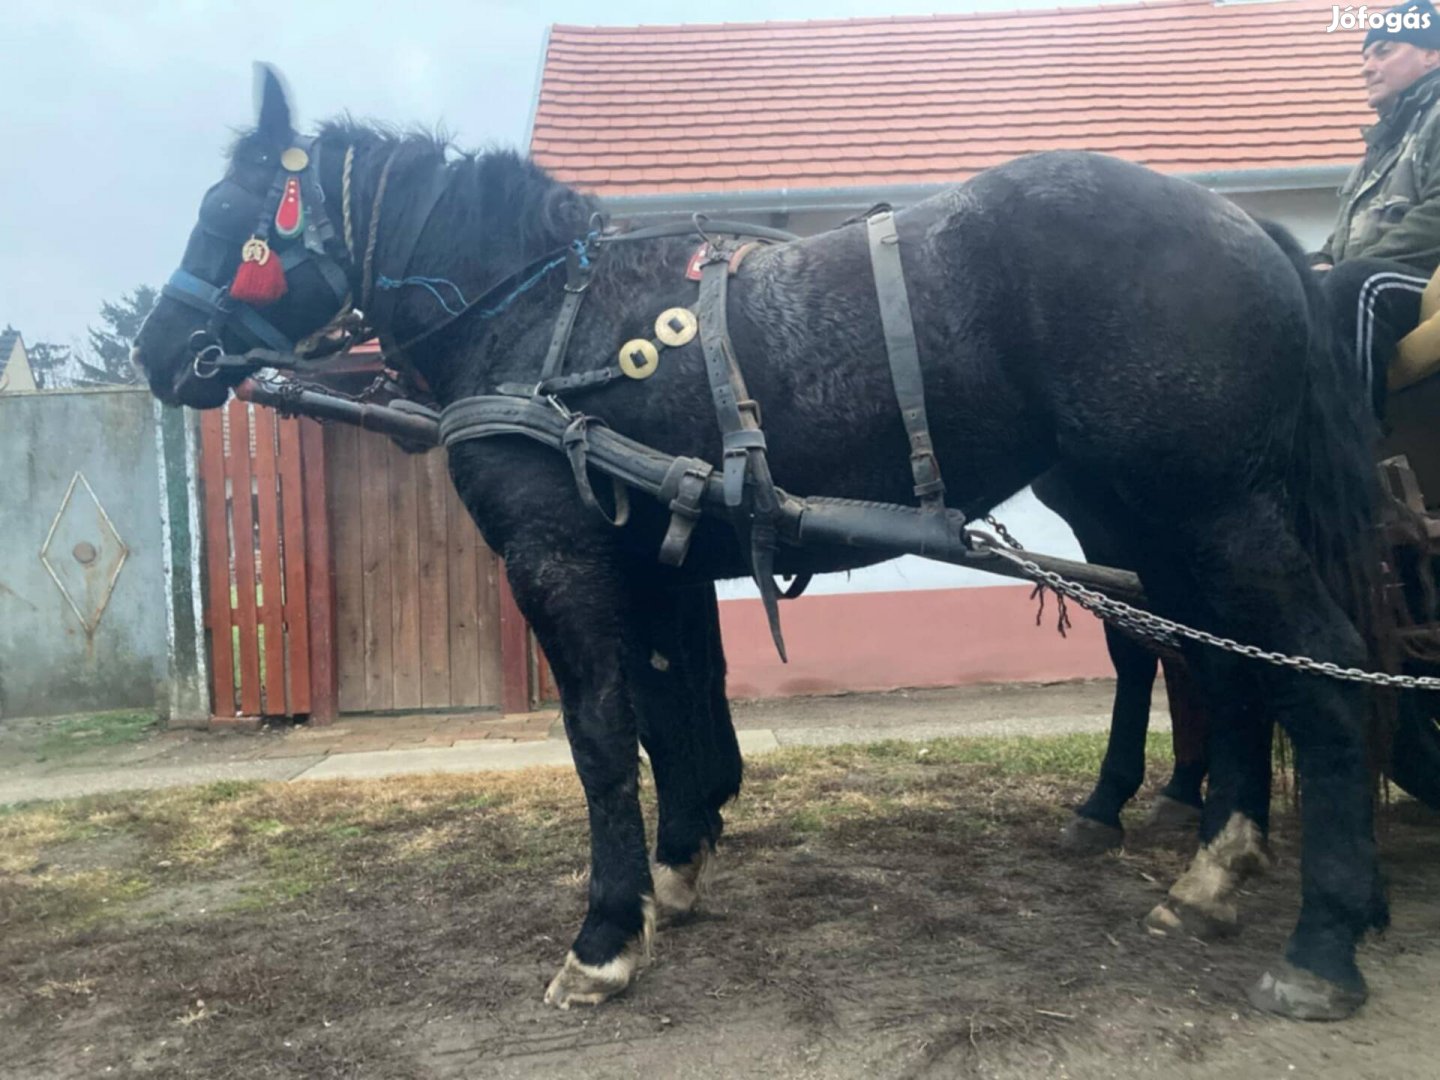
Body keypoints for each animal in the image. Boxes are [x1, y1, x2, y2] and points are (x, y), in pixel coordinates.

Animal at [137, 69, 1393, 1025]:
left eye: (229, 213)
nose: (157, 348)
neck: (545, 317)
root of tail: (1246, 227)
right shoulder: (654, 563)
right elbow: (670, 710)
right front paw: (678, 864)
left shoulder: (559, 556)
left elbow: (603, 734)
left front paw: (605, 933)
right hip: (1166, 523)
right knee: (1223, 669)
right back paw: (1218, 865)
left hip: (1213, 515)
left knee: (1321, 675)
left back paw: (1323, 939)